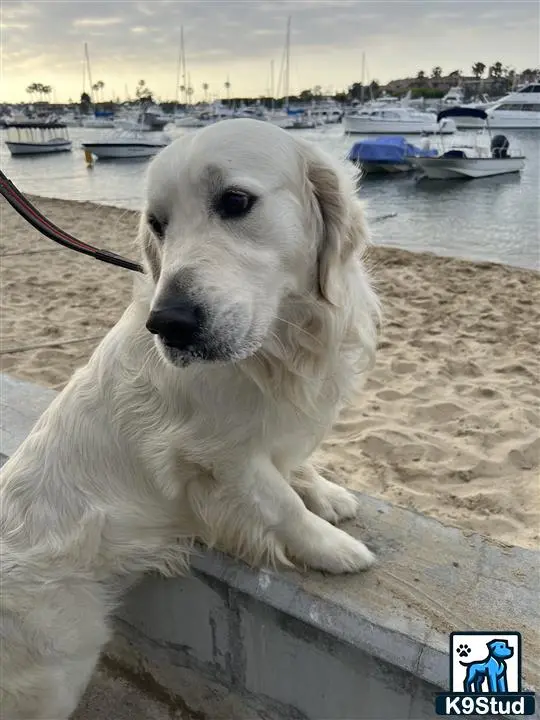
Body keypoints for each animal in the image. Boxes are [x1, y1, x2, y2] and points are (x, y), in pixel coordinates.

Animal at [0, 118, 380, 716]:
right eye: (158, 224)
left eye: (235, 201)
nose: (170, 323)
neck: (275, 348)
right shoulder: (219, 457)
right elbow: (281, 504)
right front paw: (331, 548)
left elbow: (295, 468)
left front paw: (326, 493)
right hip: (53, 670)